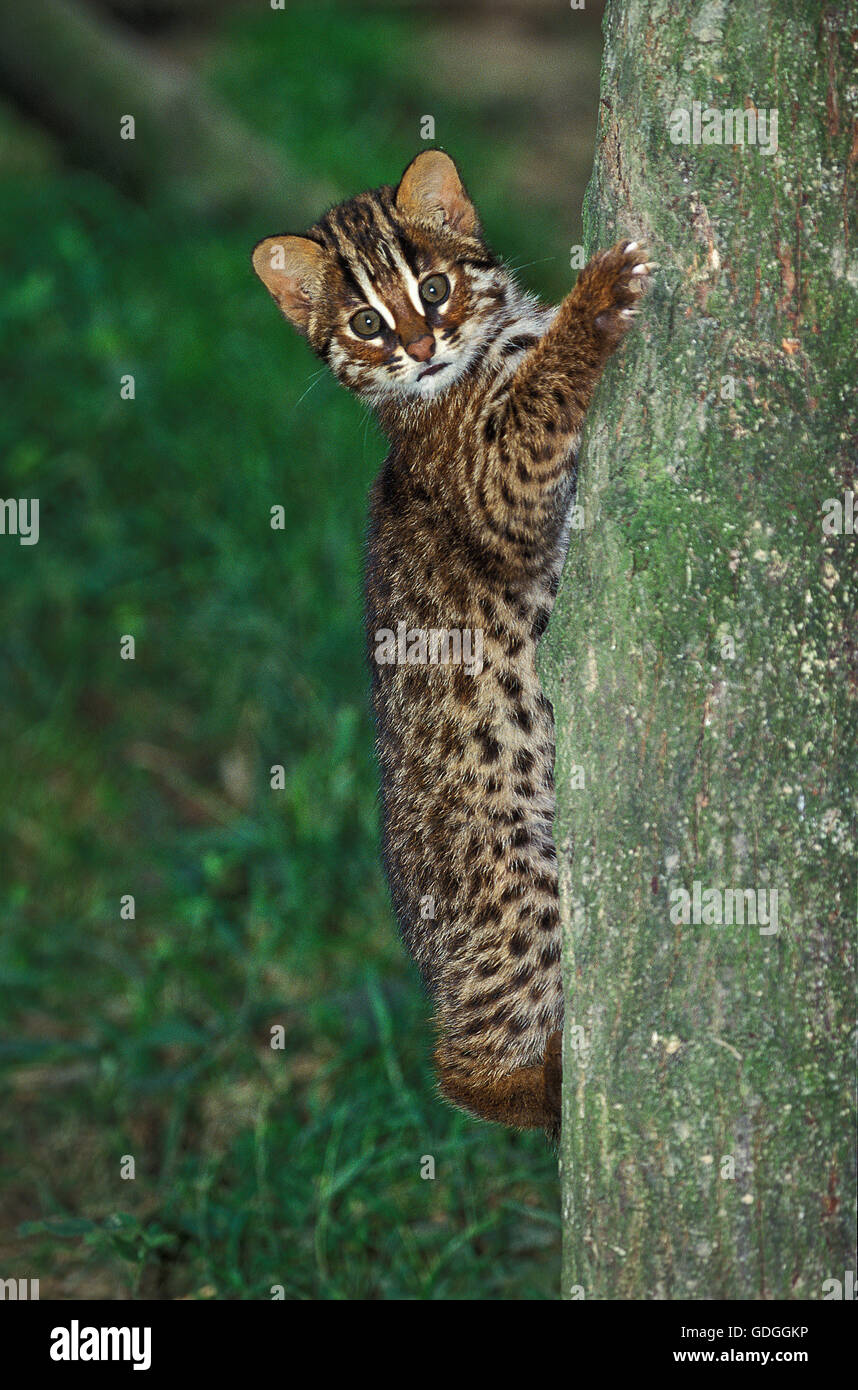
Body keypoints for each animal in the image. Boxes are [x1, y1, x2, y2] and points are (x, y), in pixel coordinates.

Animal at [250, 149, 653, 1139]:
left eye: (431, 288)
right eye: (365, 323)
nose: (422, 345)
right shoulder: (500, 477)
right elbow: (546, 388)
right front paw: (595, 300)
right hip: (526, 883)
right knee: (466, 1070)